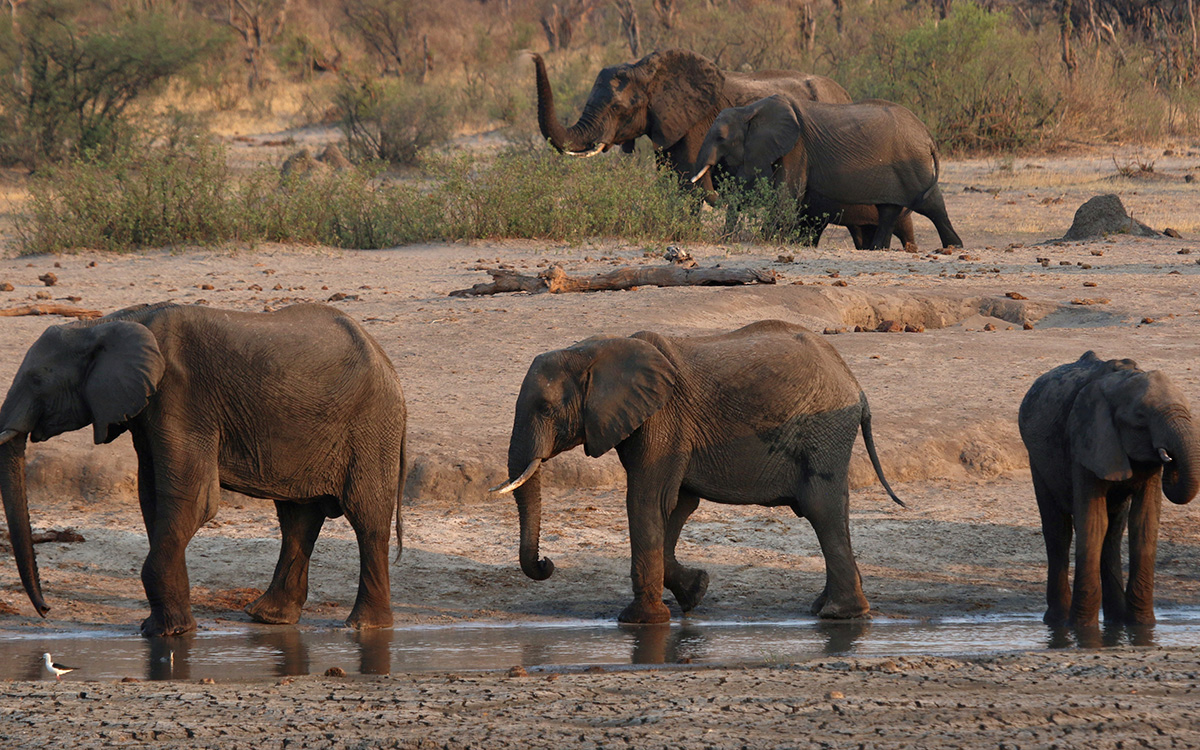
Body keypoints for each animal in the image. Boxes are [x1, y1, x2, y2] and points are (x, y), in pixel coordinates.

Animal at [0, 301, 408, 633]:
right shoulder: (149, 409)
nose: (45, 610)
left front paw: (167, 633)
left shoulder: (181, 396)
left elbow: (193, 501)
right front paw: (168, 628)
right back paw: (267, 617)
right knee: (297, 518)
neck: (107, 323)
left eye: (37, 379)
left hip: (372, 427)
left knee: (366, 518)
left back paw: (363, 626)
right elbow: (153, 499)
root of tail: (388, 364)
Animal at [489, 319, 902, 624]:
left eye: (545, 408)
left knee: (821, 507)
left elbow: (647, 501)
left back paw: (838, 614)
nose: (546, 563)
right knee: (834, 509)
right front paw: (696, 590)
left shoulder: (663, 419)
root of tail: (856, 385)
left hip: (823, 430)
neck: (596, 349)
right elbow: (676, 506)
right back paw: (827, 608)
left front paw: (640, 621)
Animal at [530, 52, 912, 252]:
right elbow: (670, 183)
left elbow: (687, 184)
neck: (651, 69)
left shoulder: (695, 123)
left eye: (619, 108)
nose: (533, 55)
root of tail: (845, 92)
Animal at [691, 93, 960, 249]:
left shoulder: (797, 147)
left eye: (721, 137)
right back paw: (878, 249)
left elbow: (787, 194)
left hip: (912, 163)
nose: (726, 239)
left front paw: (767, 240)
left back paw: (954, 247)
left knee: (930, 203)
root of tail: (927, 134)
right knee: (889, 209)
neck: (749, 110)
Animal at [1017, 350, 1195, 624]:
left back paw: (1116, 619)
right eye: (1141, 418)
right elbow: (1092, 521)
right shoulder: (1085, 440)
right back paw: (1058, 620)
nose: (1170, 458)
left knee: (1113, 533)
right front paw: (1082, 628)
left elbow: (1144, 522)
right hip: (1037, 459)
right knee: (1059, 531)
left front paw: (1142, 625)